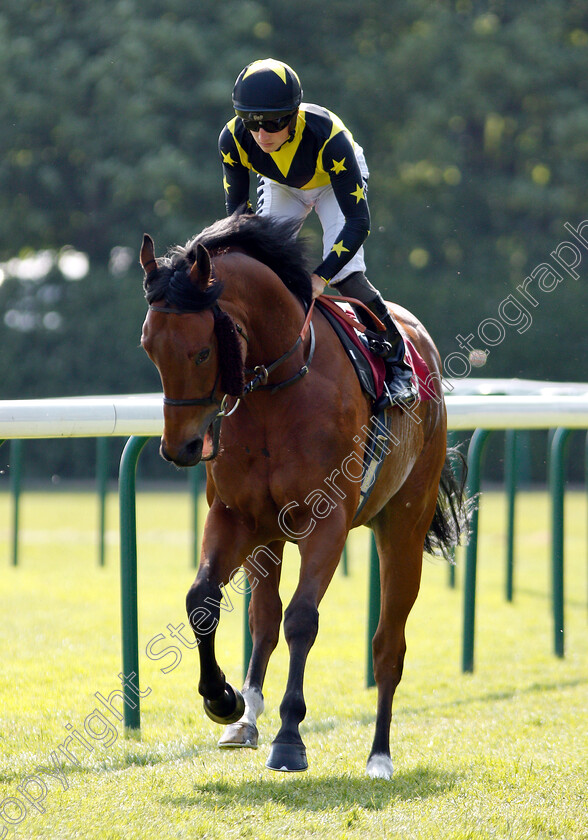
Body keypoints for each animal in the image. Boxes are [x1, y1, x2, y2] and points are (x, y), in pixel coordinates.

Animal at [139, 213, 468, 776]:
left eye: (201, 351)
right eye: (148, 347)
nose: (179, 448)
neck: (277, 388)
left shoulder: (327, 522)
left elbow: (303, 620)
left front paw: (290, 737)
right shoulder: (235, 515)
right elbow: (203, 599)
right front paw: (222, 698)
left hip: (404, 525)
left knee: (388, 645)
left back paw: (379, 756)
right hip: (269, 538)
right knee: (264, 619)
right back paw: (246, 719)